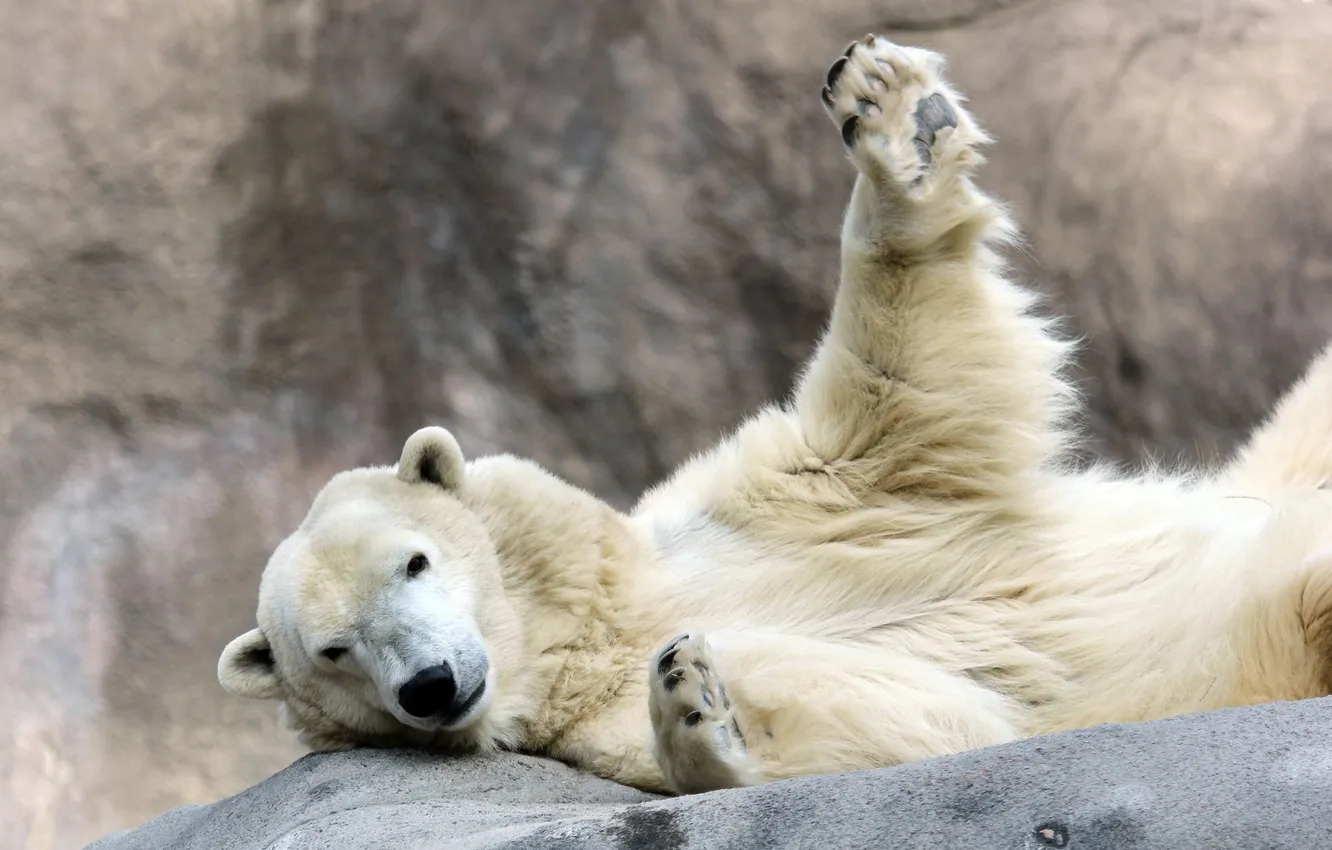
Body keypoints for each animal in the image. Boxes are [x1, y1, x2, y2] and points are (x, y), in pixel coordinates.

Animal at [218, 34, 1332, 796]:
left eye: (414, 562)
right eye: (333, 650)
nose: (432, 685)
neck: (587, 626)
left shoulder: (785, 499)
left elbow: (895, 392)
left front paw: (893, 119)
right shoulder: (586, 729)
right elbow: (921, 717)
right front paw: (701, 708)